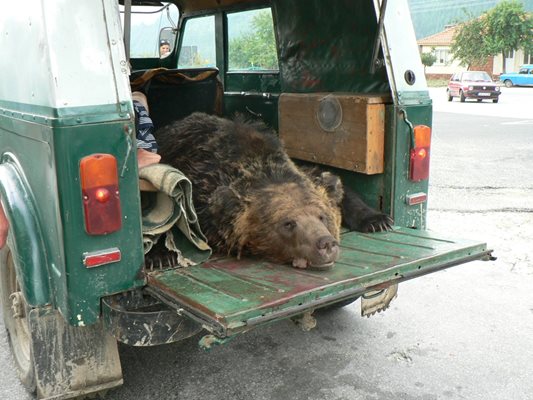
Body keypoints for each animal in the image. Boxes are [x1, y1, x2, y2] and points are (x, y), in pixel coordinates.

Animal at [154, 111, 390, 268]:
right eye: (288, 223)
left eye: (323, 216)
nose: (326, 243)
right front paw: (161, 255)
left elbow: (336, 185)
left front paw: (377, 220)